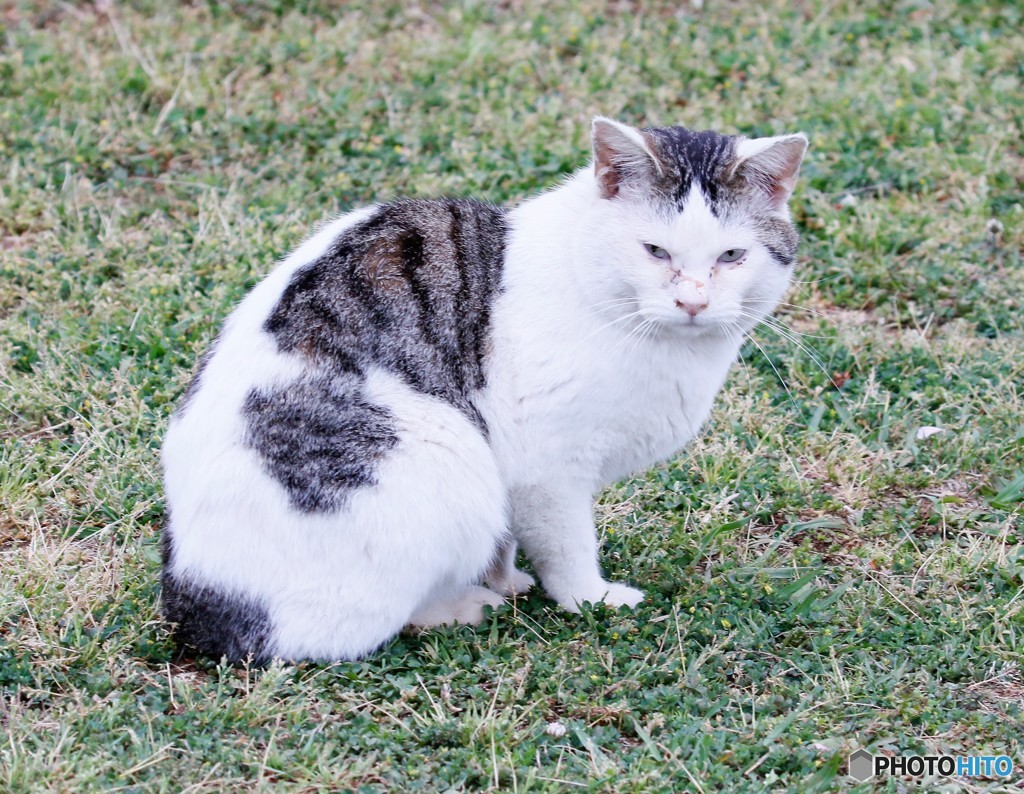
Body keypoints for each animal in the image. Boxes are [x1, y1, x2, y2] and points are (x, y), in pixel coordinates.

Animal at [159, 117, 802, 663]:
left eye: (732, 255)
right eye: (655, 250)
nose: (693, 301)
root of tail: (195, 609)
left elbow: (510, 540)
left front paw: (509, 577)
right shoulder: (547, 469)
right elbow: (567, 547)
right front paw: (587, 599)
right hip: (448, 457)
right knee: (355, 628)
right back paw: (461, 606)